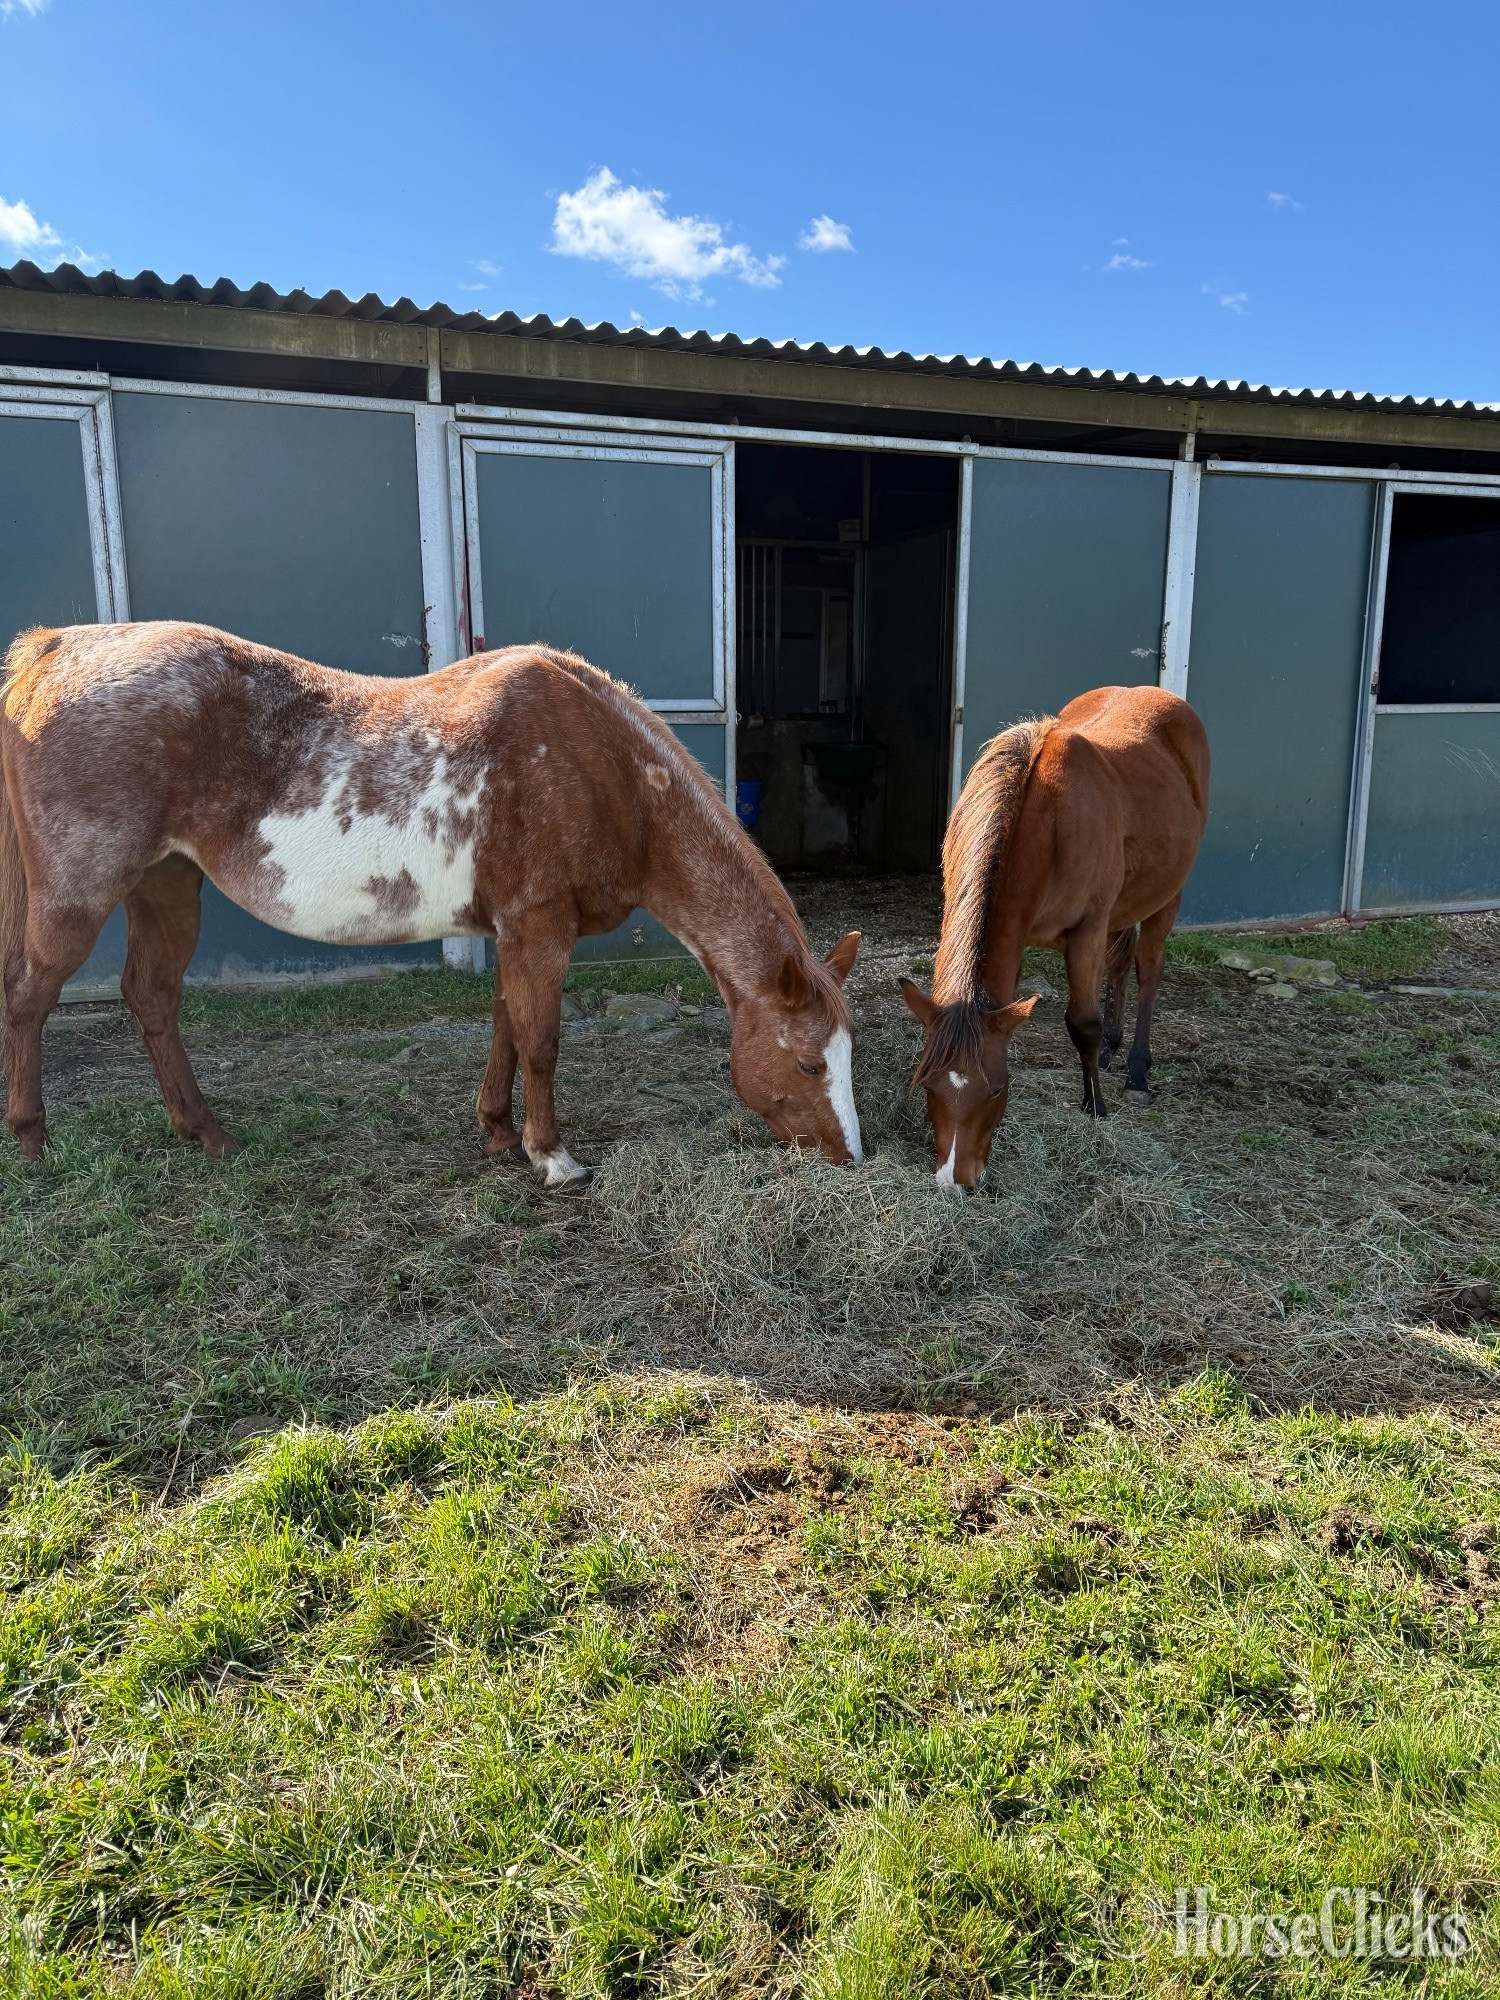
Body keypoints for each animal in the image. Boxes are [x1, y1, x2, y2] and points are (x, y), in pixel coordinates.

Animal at [1, 623, 863, 1180]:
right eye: (808, 1062)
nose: (851, 1157)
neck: (605, 769)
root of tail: (57, 649)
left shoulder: (514, 928)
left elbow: (507, 1027)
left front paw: (497, 1135)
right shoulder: (540, 925)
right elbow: (541, 1039)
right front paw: (552, 1157)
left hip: (166, 883)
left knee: (151, 996)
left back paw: (205, 1135)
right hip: (80, 893)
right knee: (30, 998)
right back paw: (34, 1143)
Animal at [901, 684, 1209, 1190]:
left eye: (998, 1088)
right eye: (927, 1082)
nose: (955, 1181)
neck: (1045, 820)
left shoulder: (1087, 931)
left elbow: (1082, 1023)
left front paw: (1095, 1107)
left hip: (1168, 897)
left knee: (1147, 971)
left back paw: (1136, 1074)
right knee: (1119, 966)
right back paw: (1111, 1049)